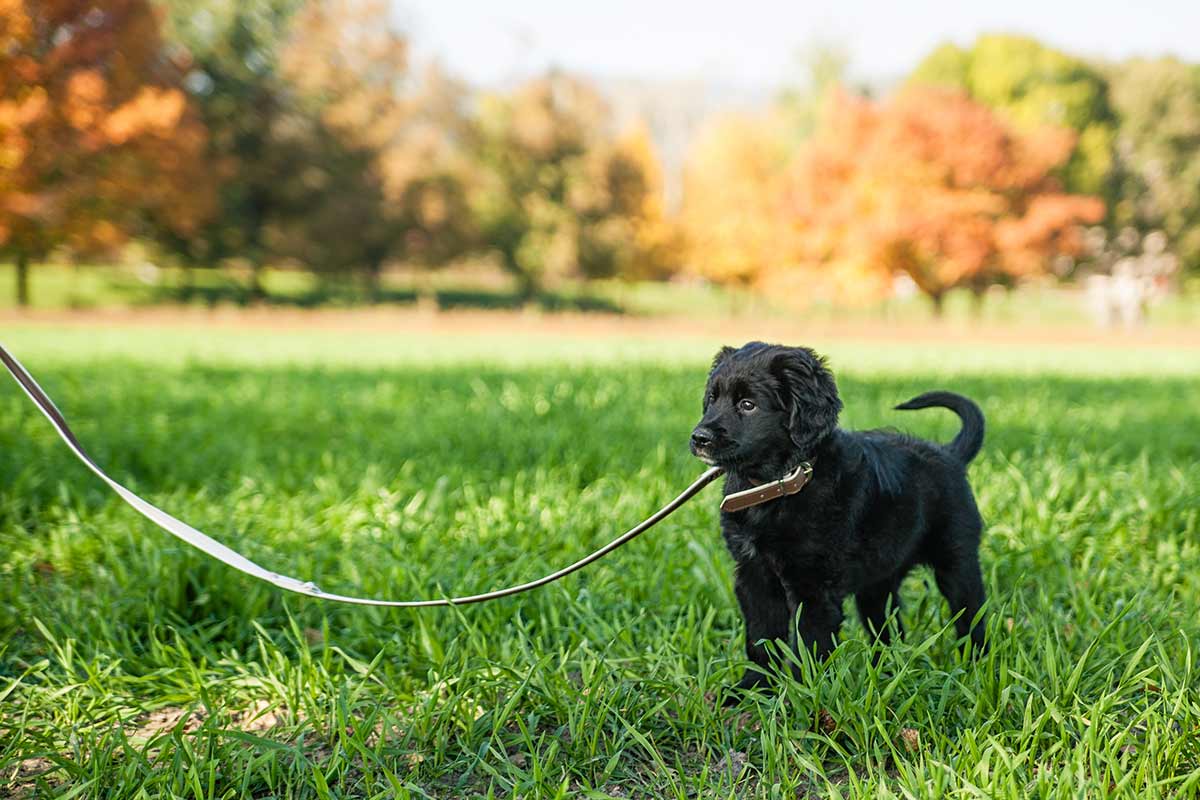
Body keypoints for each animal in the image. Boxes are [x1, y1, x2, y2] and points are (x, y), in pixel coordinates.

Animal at [691, 340, 988, 695]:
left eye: (748, 405)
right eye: (712, 399)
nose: (699, 438)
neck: (778, 485)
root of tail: (949, 454)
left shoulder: (814, 587)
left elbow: (808, 646)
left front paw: (801, 696)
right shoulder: (753, 575)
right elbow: (762, 637)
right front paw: (753, 688)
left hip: (957, 563)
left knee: (972, 617)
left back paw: (976, 667)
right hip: (878, 582)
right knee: (888, 630)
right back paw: (886, 674)